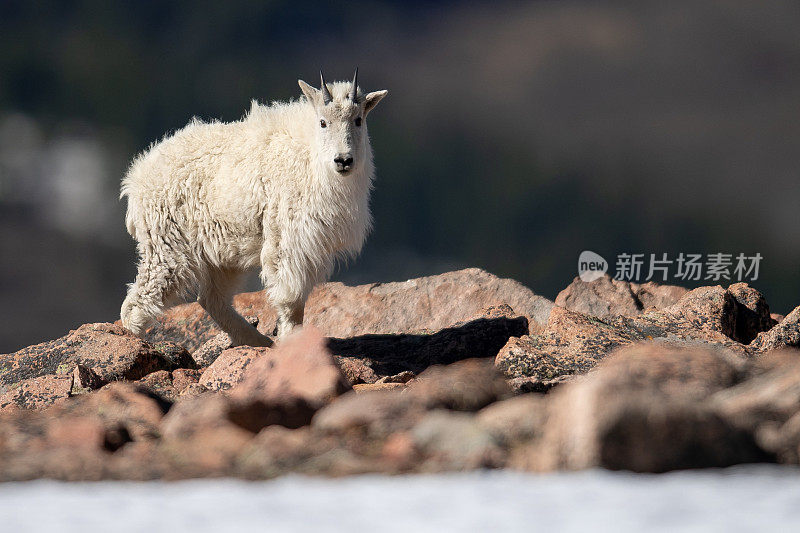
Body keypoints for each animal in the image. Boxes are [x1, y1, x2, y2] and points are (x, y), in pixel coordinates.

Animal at [119, 70, 390, 344]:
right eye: (323, 122)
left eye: (358, 120)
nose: (343, 160)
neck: (313, 158)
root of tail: (135, 180)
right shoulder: (288, 237)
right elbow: (291, 299)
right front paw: (291, 341)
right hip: (166, 244)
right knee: (136, 304)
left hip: (222, 251)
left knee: (210, 299)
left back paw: (258, 341)